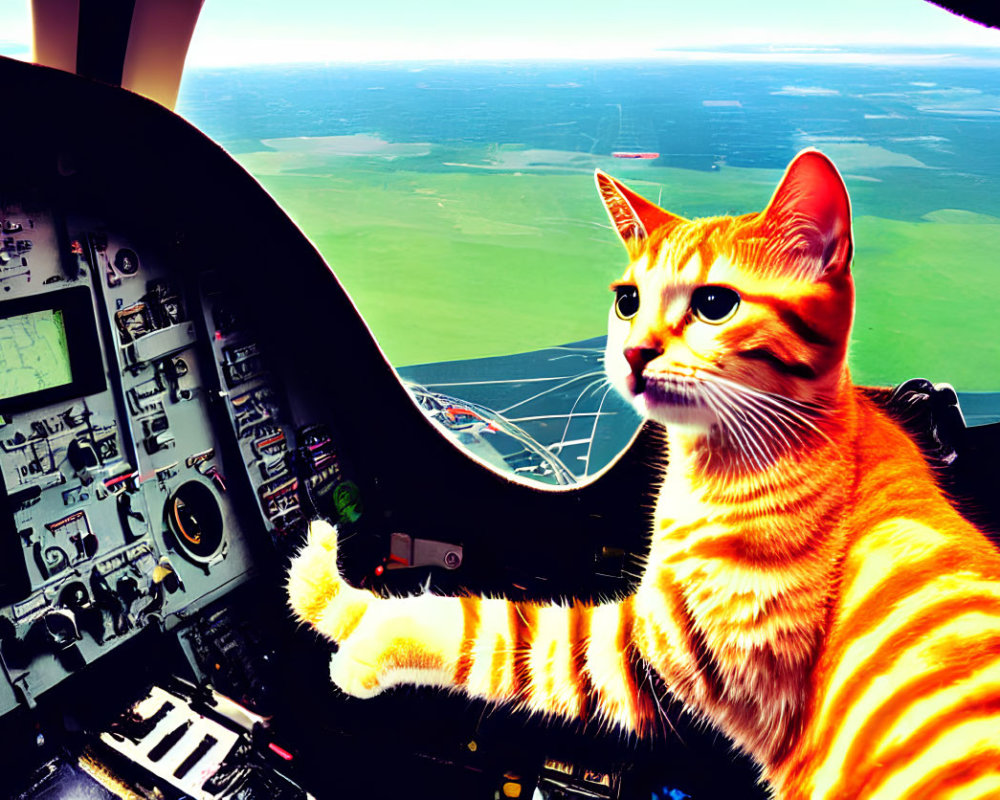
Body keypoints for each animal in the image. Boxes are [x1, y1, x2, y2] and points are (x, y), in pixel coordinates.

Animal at [288, 152, 1000, 800]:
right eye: (628, 300)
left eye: (715, 304)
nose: (632, 352)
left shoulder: (652, 652)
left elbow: (481, 626)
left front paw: (341, 608)